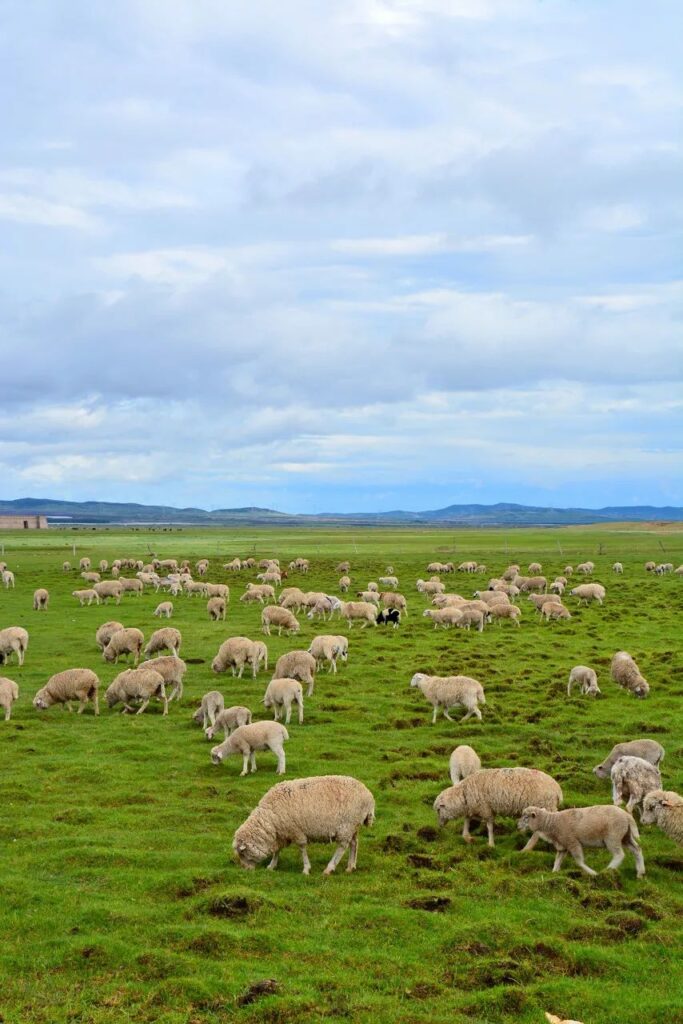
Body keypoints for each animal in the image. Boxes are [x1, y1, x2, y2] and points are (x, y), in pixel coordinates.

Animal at [233, 770, 374, 876]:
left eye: (242, 853)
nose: (245, 870)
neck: (270, 817)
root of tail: (369, 796)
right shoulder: (281, 833)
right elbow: (277, 850)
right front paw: (272, 865)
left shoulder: (296, 831)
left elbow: (302, 848)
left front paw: (306, 869)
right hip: (353, 826)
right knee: (354, 844)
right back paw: (350, 867)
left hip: (346, 826)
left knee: (342, 846)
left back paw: (329, 869)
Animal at [436, 770, 565, 847]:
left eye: (438, 810)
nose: (440, 826)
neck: (464, 793)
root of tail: (557, 790)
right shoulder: (474, 808)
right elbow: (467, 821)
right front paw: (468, 838)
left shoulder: (485, 809)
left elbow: (489, 827)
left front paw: (491, 844)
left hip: (544, 806)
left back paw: (526, 849)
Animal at [518, 802, 647, 876]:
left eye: (526, 817)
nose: (518, 825)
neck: (551, 824)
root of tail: (627, 816)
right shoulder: (563, 845)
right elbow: (557, 860)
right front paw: (554, 872)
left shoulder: (572, 842)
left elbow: (579, 861)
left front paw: (592, 873)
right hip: (625, 836)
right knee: (637, 849)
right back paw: (640, 873)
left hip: (613, 837)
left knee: (619, 854)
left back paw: (607, 870)